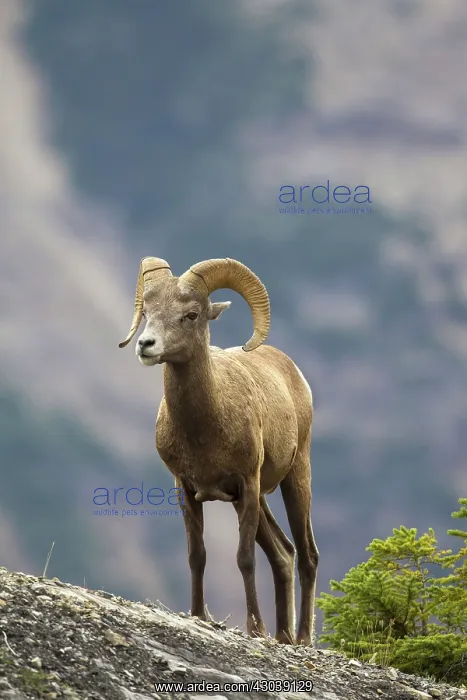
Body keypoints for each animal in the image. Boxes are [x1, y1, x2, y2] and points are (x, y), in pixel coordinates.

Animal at [119, 257, 319, 645]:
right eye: (148, 310)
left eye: (191, 314)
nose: (146, 345)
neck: (204, 429)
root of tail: (295, 375)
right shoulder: (187, 489)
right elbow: (197, 554)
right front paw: (198, 614)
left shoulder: (246, 484)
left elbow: (244, 559)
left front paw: (255, 628)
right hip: (256, 501)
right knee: (283, 554)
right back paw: (283, 635)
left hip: (292, 480)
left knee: (306, 556)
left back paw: (301, 638)